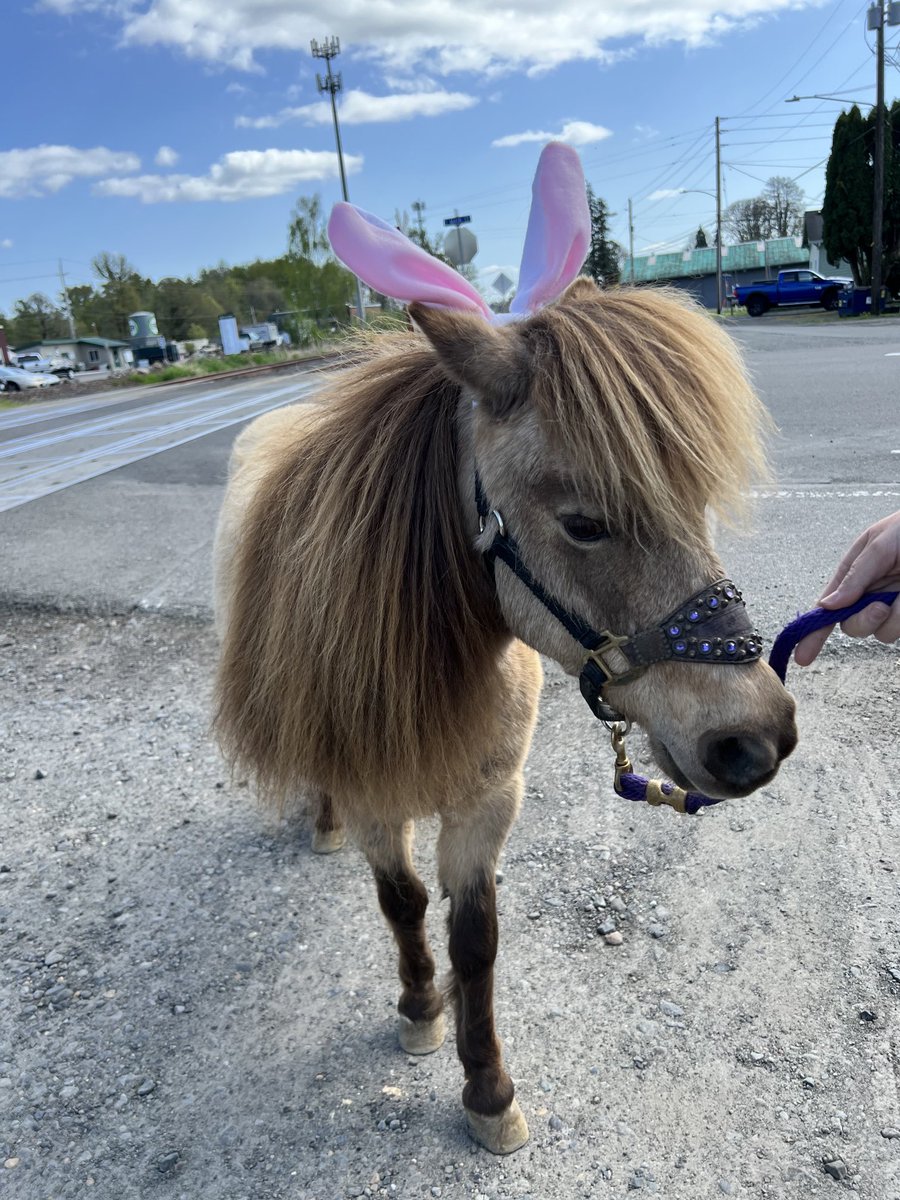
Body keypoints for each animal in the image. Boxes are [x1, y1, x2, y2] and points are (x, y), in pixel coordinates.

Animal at [212, 274, 798, 1155]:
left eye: (696, 501)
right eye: (584, 523)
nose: (756, 740)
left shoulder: (489, 800)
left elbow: (476, 942)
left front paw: (487, 1088)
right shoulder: (377, 796)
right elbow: (404, 903)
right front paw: (421, 1006)